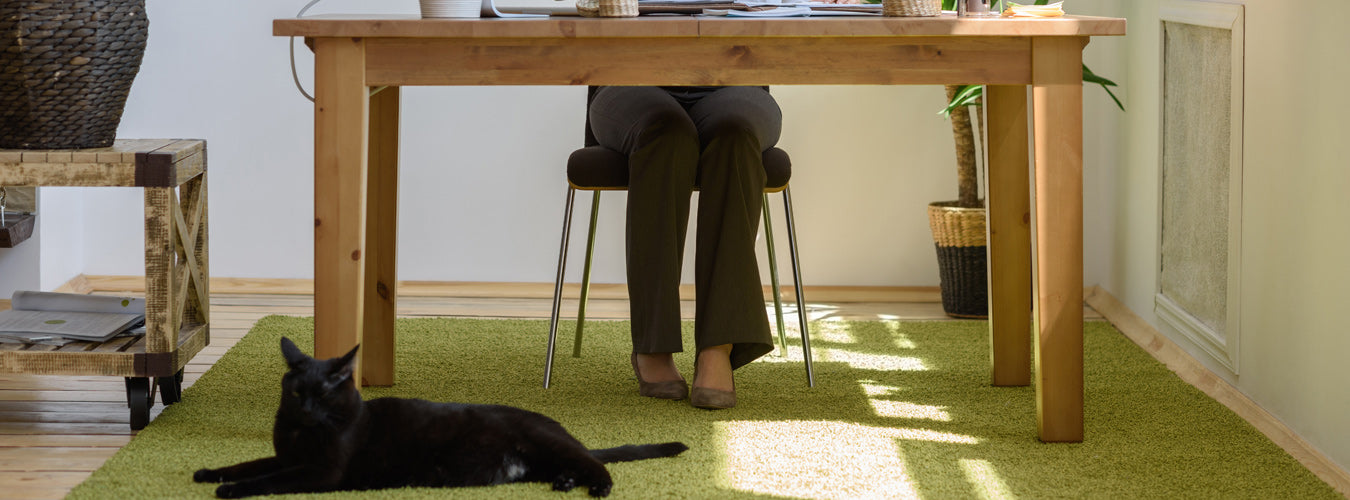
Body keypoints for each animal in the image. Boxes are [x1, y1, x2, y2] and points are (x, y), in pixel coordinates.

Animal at [193, 337, 685, 497]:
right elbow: (252, 463)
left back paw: (595, 486)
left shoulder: (321, 471)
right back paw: (563, 482)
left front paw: (229, 489)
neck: (300, 436)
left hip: (549, 443)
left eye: (325, 394)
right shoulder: (286, 455)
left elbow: (268, 479)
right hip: (541, 459)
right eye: (297, 393)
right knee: (571, 465)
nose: (309, 412)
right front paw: (209, 472)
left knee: (596, 464)